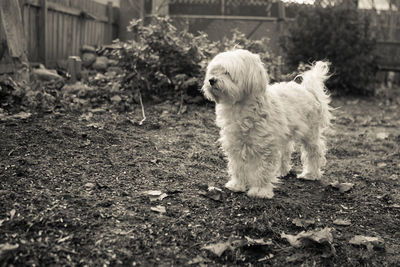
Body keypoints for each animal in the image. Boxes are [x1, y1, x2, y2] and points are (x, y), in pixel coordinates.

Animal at [203, 48, 332, 199]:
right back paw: (281, 171)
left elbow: (262, 170)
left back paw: (311, 174)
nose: (211, 80)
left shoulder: (265, 147)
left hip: (309, 133)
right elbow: (238, 166)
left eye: (227, 72)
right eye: (213, 71)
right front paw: (237, 185)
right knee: (285, 152)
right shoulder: (236, 143)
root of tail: (308, 90)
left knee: (314, 151)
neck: (240, 107)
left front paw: (260, 190)